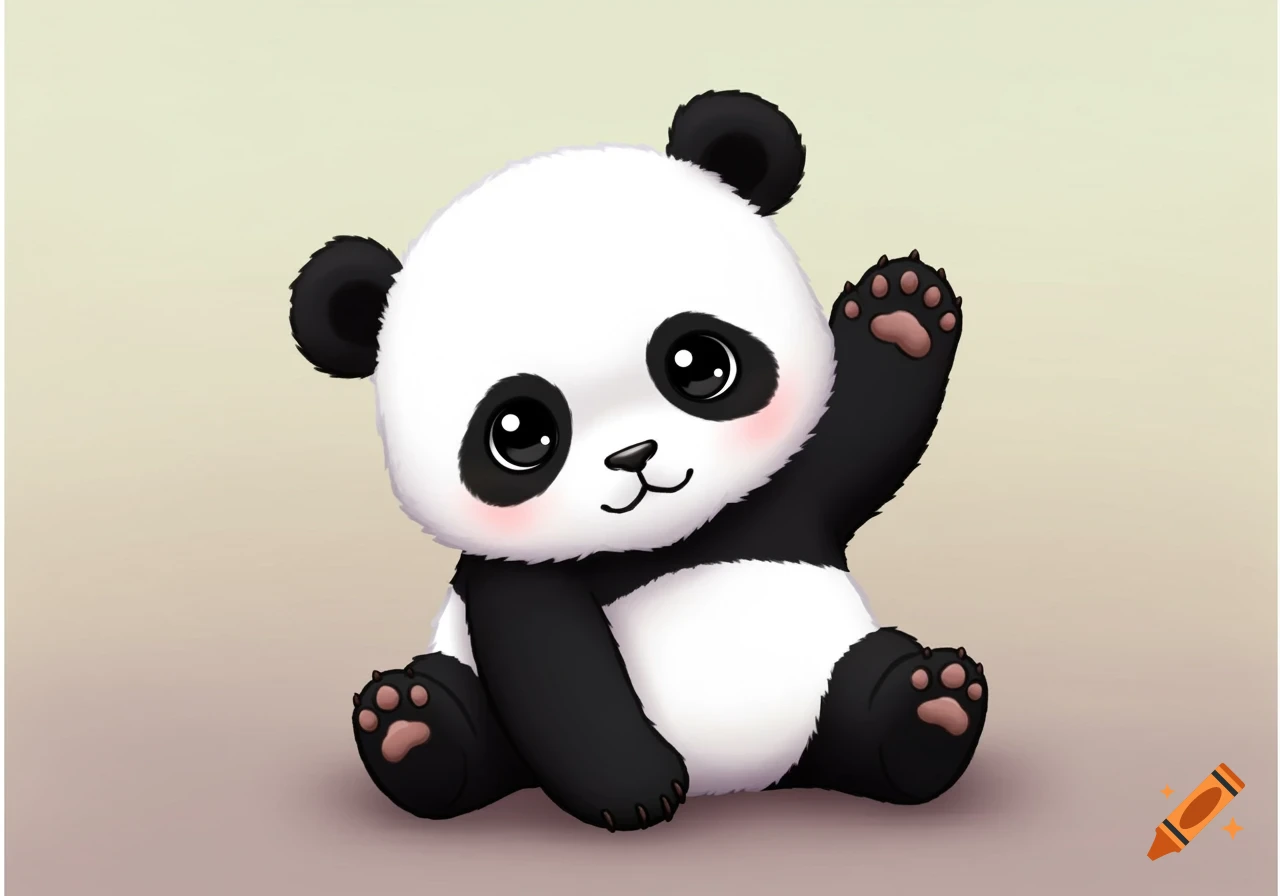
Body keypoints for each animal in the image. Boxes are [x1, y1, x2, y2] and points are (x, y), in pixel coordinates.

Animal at [289, 90, 987, 833]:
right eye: (518, 433)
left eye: (700, 364)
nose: (634, 456)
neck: (664, 538)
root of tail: (745, 780)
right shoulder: (513, 574)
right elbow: (553, 667)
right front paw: (634, 790)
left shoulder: (789, 493)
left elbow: (860, 442)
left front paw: (901, 316)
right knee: (467, 724)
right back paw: (411, 726)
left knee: (865, 698)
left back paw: (927, 705)